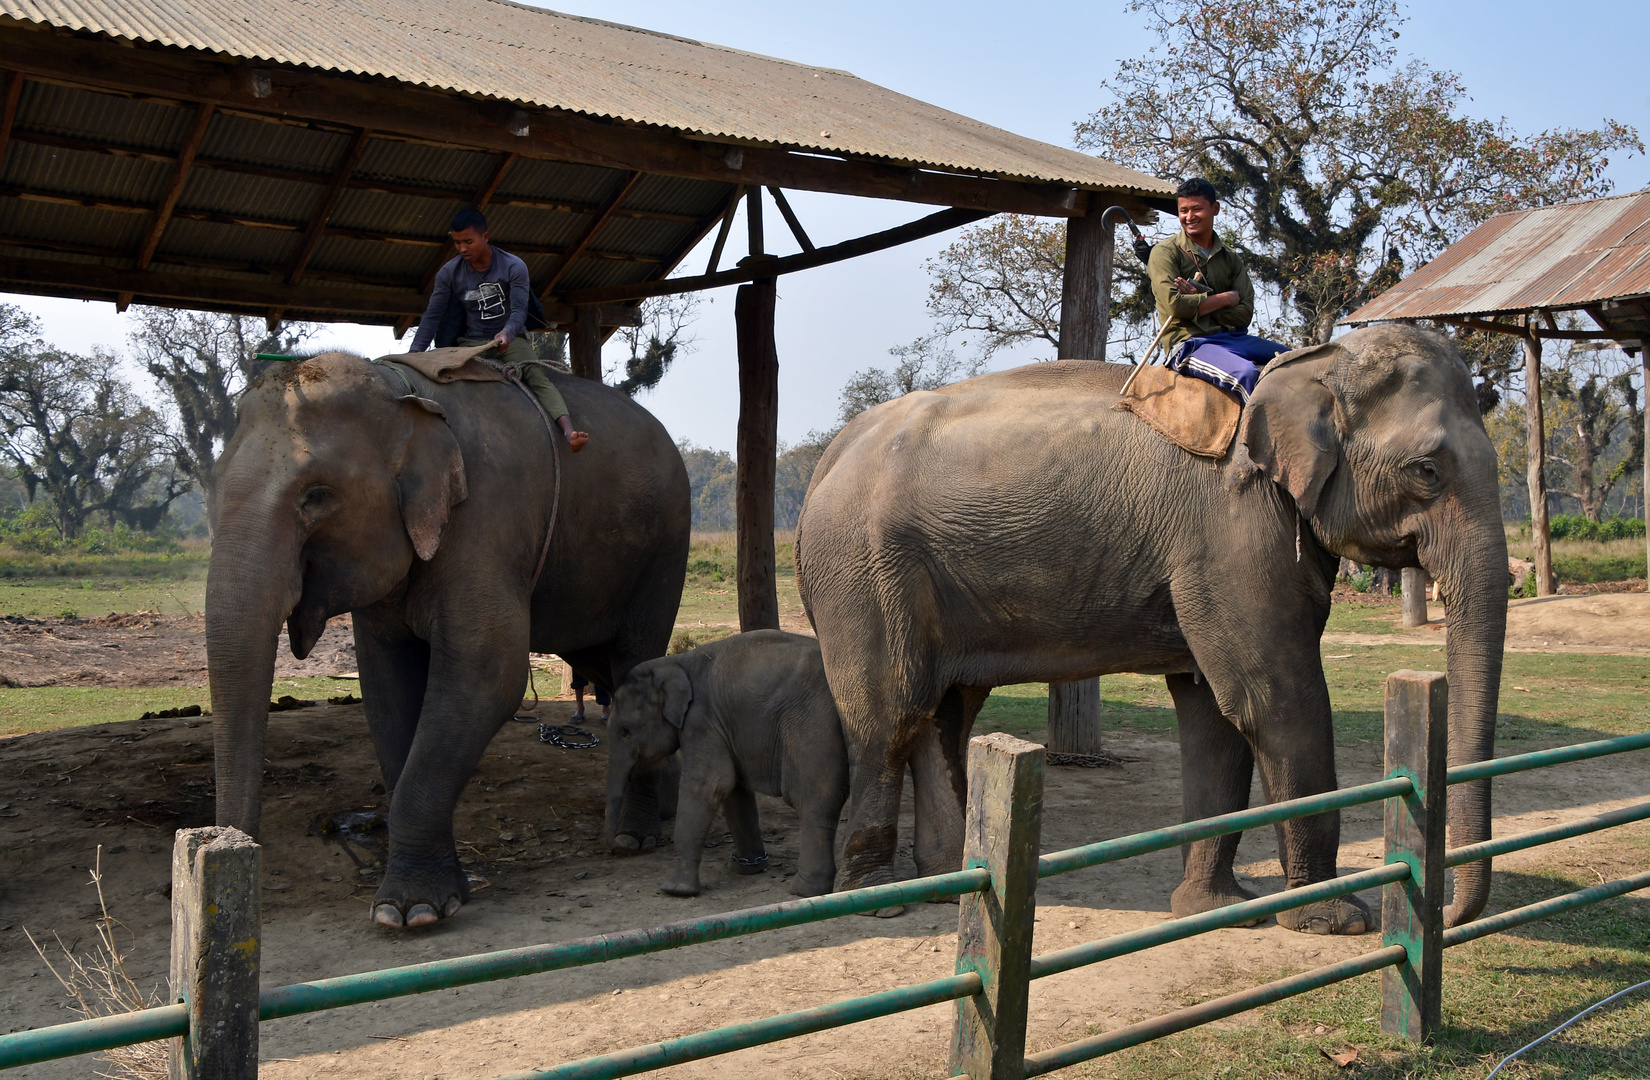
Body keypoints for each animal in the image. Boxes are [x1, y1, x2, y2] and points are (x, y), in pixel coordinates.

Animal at [207, 354, 689, 929]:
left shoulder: (486, 520)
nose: (223, 851)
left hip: (664, 545)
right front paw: (436, 893)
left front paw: (409, 912)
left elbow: (489, 673)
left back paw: (632, 839)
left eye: (317, 497)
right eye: (212, 486)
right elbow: (387, 685)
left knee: (636, 663)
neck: (402, 396)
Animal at [600, 629, 844, 896]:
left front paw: (676, 890)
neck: (672, 662)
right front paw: (746, 869)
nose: (619, 848)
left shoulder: (701, 720)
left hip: (813, 725)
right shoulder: (724, 727)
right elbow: (735, 789)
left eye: (626, 732)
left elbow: (709, 785)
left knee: (813, 801)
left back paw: (805, 891)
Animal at [798, 324, 1511, 936]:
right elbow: (1275, 697)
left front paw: (1215, 910)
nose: (1446, 912)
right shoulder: (1230, 528)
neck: (1308, 363)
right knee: (888, 714)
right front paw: (1336, 920)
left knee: (944, 712)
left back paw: (946, 884)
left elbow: (1215, 709)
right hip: (864, 568)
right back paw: (876, 899)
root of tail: (827, 460)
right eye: (1426, 470)